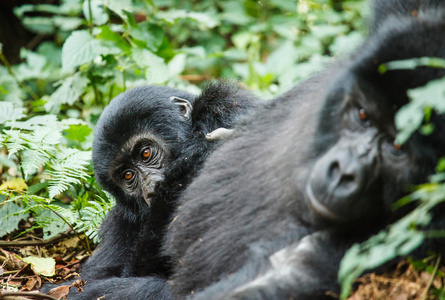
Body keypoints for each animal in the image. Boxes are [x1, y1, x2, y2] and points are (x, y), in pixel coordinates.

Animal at [70, 80, 256, 298]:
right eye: (128, 175)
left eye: (146, 153)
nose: (151, 187)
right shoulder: (120, 221)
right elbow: (92, 282)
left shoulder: (227, 107)